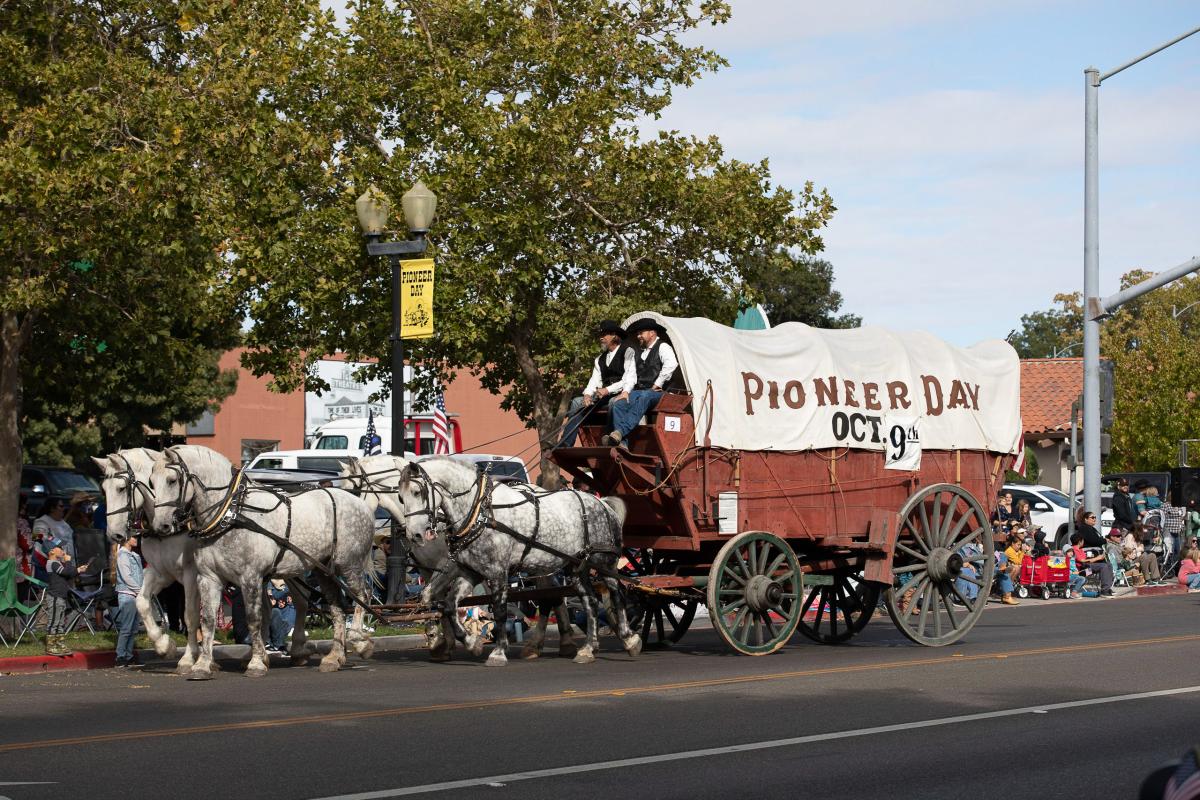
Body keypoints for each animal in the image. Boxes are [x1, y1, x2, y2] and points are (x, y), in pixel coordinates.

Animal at [148, 448, 374, 681]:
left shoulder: (251, 577)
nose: (160, 525)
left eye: (172, 480)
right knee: (337, 608)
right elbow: (208, 619)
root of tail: (361, 503)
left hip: (349, 564)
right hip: (324, 570)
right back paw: (334, 657)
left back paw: (358, 640)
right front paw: (202, 665)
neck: (230, 514)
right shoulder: (208, 577)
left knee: (362, 595)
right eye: (151, 482)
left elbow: (254, 618)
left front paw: (256, 662)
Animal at [343, 455, 580, 662]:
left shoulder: (449, 565)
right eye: (401, 496)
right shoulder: (427, 569)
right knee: (552, 595)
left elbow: (437, 598)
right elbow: (430, 599)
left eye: (352, 490)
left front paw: (449, 640)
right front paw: (441, 642)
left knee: (550, 597)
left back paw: (554, 642)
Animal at [393, 453, 643, 666]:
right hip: (577, 567)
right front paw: (472, 643)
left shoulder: (497, 572)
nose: (414, 535)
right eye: (400, 497)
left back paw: (629, 639)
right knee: (589, 602)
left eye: (417, 492)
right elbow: (449, 606)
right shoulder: (470, 571)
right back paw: (588, 648)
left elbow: (500, 610)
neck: (480, 512)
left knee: (616, 594)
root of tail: (603, 504)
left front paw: (498, 652)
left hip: (604, 561)